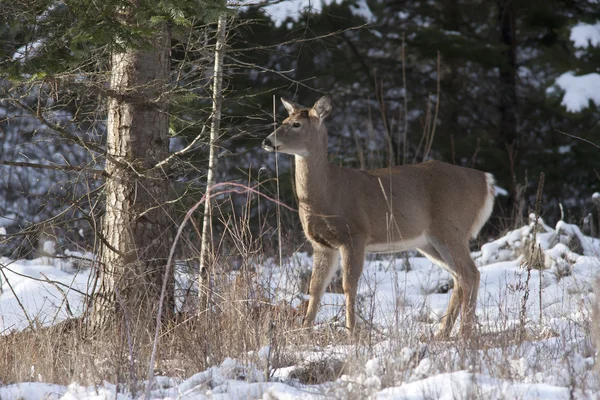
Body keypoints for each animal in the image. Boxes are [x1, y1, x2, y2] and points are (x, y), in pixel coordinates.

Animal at [264, 95, 496, 340]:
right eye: (282, 120)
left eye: (296, 124)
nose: (267, 141)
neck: (327, 192)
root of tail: (487, 182)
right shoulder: (322, 245)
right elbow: (315, 287)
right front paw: (304, 331)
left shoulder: (355, 235)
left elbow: (348, 285)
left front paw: (351, 332)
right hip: (429, 242)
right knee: (459, 277)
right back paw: (442, 333)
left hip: (452, 228)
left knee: (470, 273)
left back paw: (464, 334)